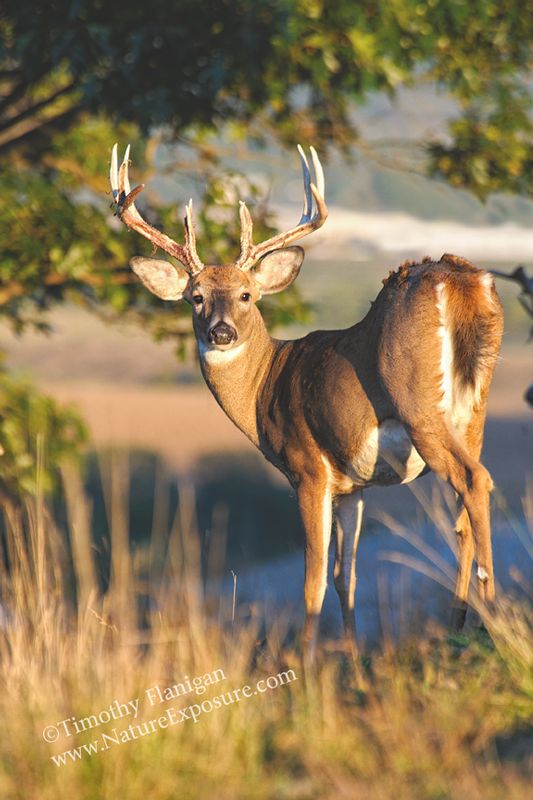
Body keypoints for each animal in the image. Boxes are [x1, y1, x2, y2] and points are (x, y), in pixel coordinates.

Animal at [109, 143, 503, 660]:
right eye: (195, 297)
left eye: (246, 294)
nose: (221, 332)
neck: (265, 385)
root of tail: (463, 284)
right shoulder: (353, 486)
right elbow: (345, 576)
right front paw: (352, 656)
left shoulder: (307, 467)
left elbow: (313, 578)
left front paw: (306, 660)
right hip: (475, 408)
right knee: (464, 508)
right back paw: (461, 622)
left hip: (419, 403)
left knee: (474, 480)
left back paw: (491, 615)